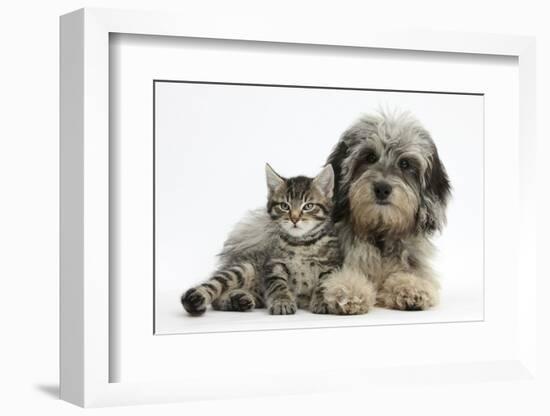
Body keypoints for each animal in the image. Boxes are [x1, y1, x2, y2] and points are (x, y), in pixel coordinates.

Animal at [183, 162, 342, 316]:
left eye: (308, 206)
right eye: (284, 206)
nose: (294, 218)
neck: (301, 243)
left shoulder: (331, 266)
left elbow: (325, 284)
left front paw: (323, 300)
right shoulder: (274, 264)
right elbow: (278, 285)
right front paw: (282, 302)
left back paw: (238, 300)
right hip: (243, 268)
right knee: (214, 287)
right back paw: (195, 299)